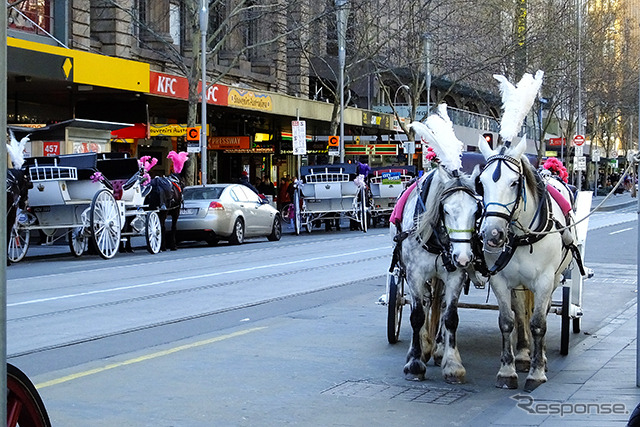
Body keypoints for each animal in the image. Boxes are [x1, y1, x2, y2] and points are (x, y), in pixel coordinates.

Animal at [390, 167, 484, 384]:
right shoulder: (414, 274)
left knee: (439, 305)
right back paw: (423, 347)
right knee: (424, 303)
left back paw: (438, 348)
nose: (463, 257)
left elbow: (450, 317)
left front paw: (452, 365)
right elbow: (417, 315)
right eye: (446, 210)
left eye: (476, 211)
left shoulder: (455, 276)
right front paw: (415, 364)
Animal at [476, 137, 580, 392]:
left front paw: (537, 372)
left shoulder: (544, 280)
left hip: (554, 279)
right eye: (481, 183)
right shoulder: (500, 280)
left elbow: (538, 323)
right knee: (521, 312)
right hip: (519, 284)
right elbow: (507, 321)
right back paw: (524, 354)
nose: (493, 234)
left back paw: (538, 356)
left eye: (514, 183)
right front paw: (507, 371)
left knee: (539, 313)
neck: (522, 237)